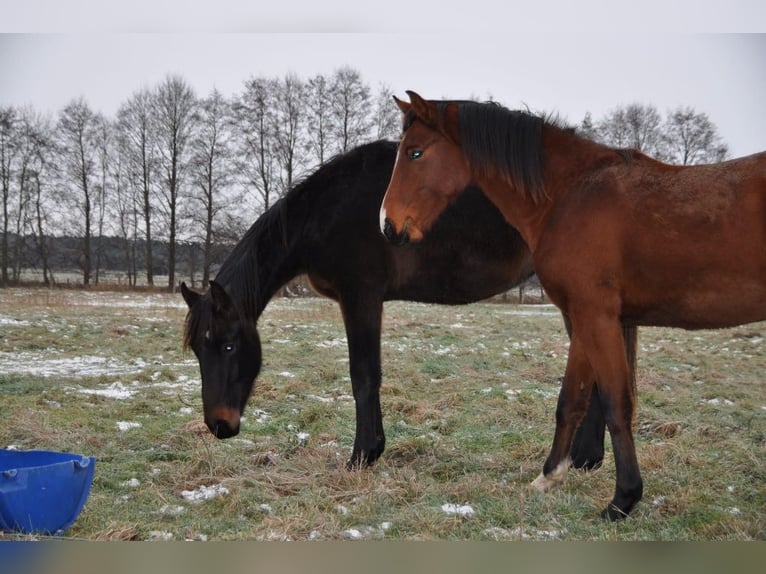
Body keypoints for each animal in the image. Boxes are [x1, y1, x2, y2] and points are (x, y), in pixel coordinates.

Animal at [380, 91, 766, 520]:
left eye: (415, 153)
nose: (388, 225)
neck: (570, 195)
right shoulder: (581, 319)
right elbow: (572, 400)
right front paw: (549, 476)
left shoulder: (596, 317)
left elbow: (616, 404)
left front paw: (623, 499)